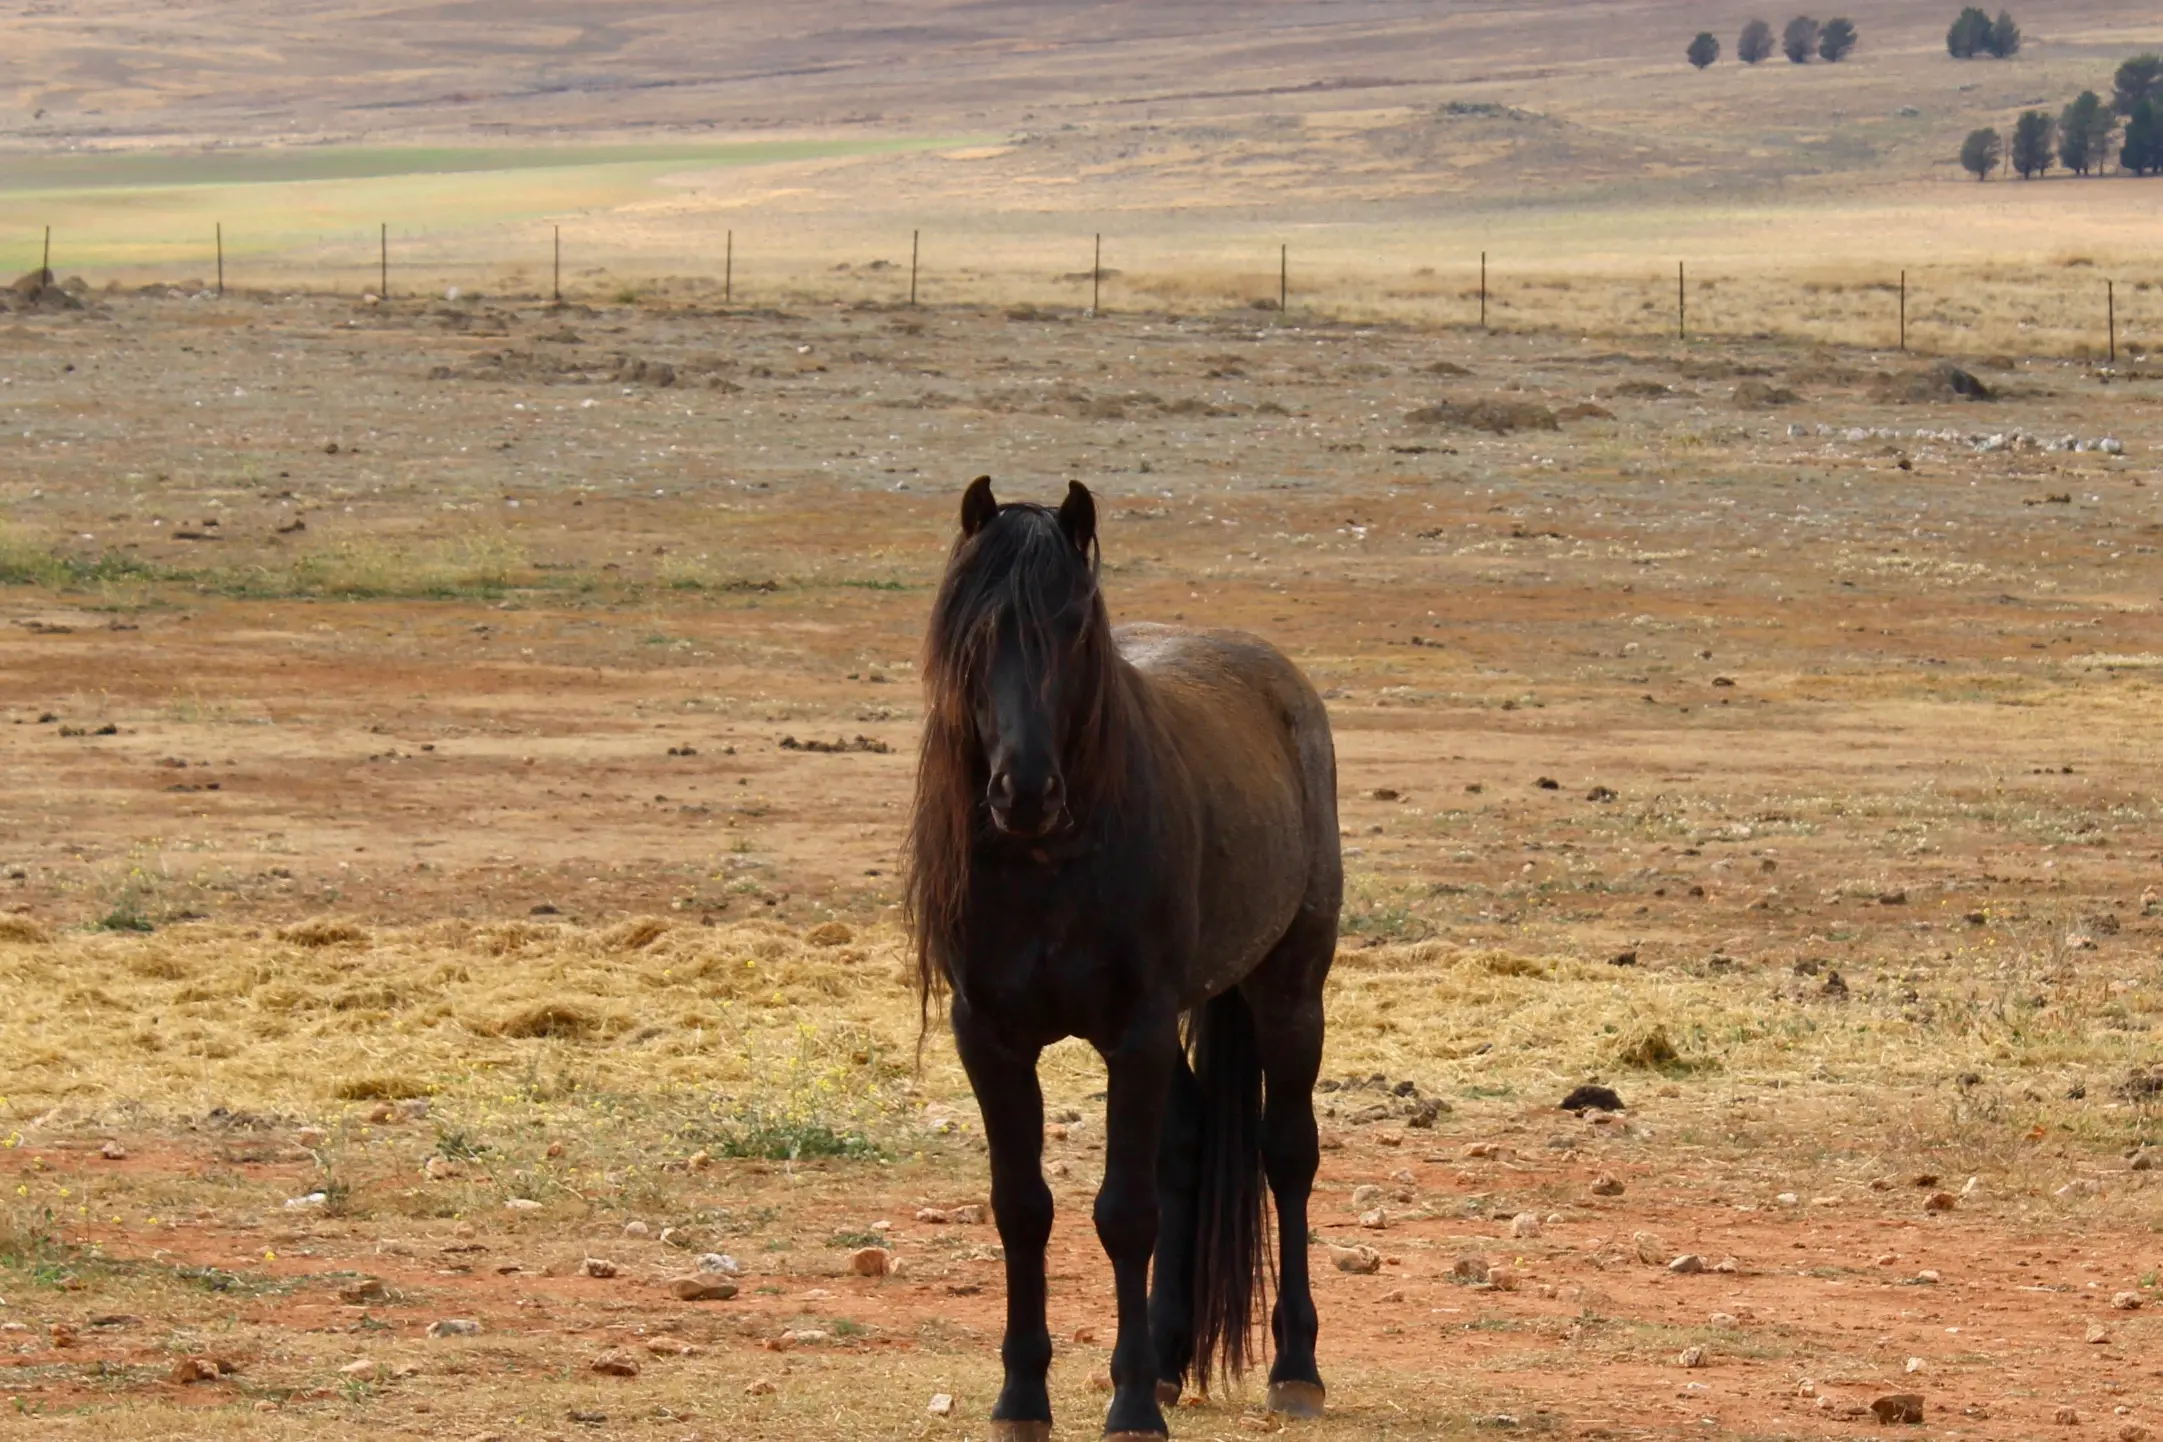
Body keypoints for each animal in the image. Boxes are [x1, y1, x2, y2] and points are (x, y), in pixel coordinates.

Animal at [906, 476, 1342, 1439]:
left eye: (1073, 627)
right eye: (973, 631)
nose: (1024, 790)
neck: (1045, 866)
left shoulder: (1134, 1033)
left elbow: (1125, 1215)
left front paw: (1132, 1403)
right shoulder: (989, 1038)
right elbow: (1022, 1209)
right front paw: (1022, 1397)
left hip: (1289, 988)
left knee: (1287, 1155)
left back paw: (1294, 1368)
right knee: (1185, 1145)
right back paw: (1175, 1358)